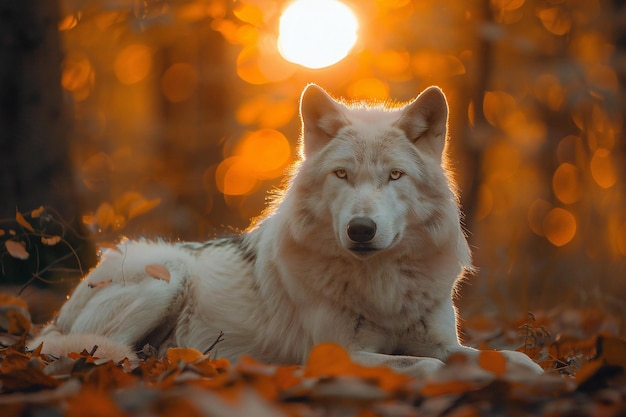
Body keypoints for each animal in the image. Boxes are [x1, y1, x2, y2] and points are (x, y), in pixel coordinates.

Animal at [29, 83, 540, 374]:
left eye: (395, 176)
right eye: (342, 175)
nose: (360, 229)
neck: (382, 284)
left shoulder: (440, 340)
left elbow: (511, 357)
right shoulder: (338, 352)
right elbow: (423, 366)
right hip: (166, 275)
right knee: (96, 347)